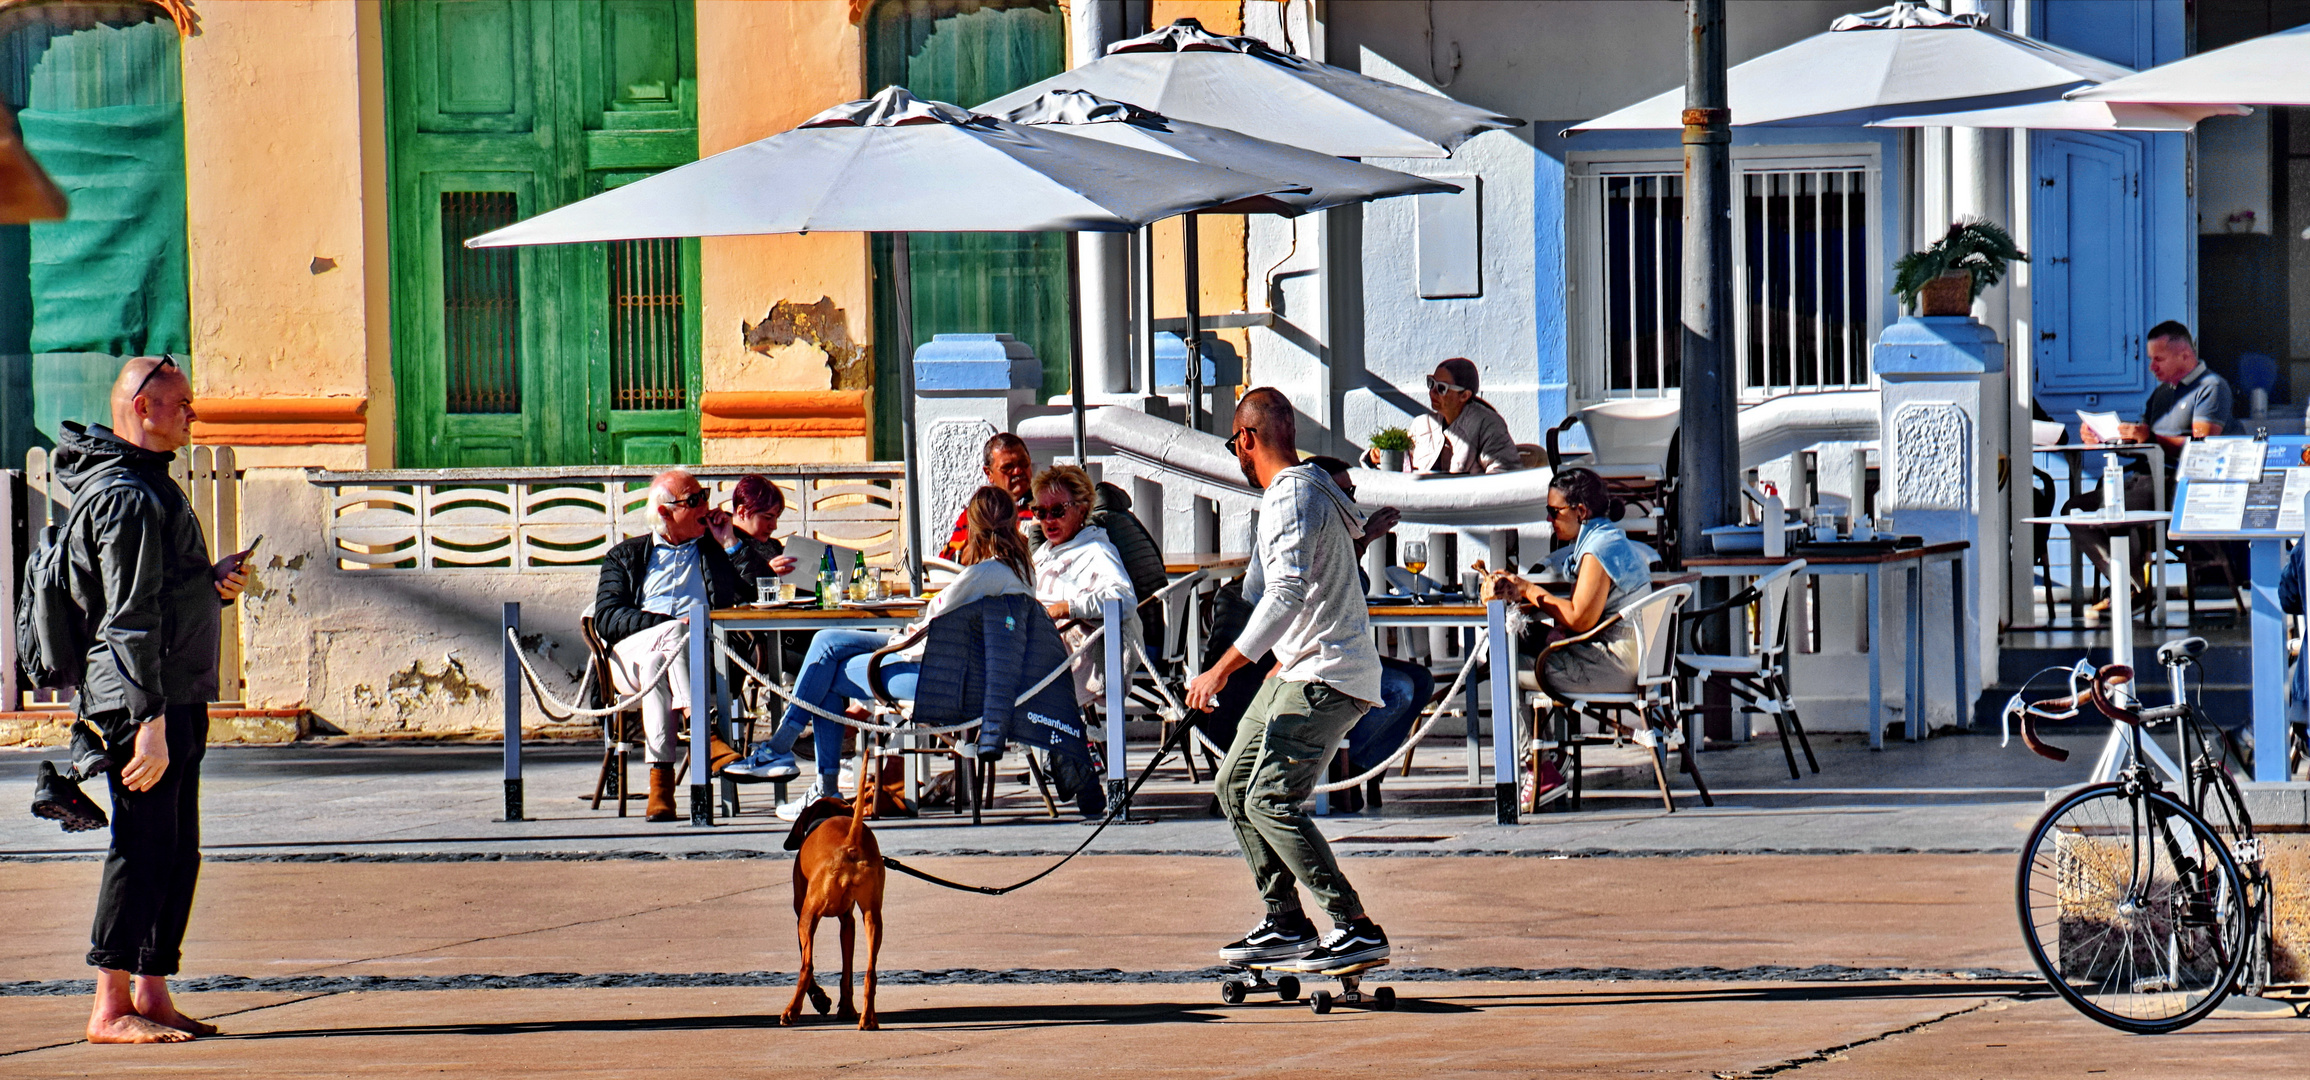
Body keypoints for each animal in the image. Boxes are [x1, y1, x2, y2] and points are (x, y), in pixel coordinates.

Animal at [776, 761, 882, 1029]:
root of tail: (850, 843)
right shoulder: (848, 922)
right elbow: (847, 972)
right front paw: (846, 1009)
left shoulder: (803, 916)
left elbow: (809, 965)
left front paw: (820, 1000)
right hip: (873, 918)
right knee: (870, 972)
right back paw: (867, 1019)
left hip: (807, 916)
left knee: (806, 967)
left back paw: (791, 1012)